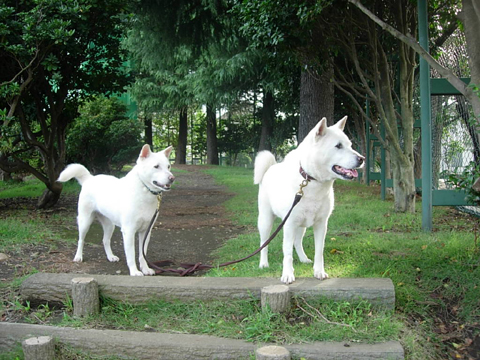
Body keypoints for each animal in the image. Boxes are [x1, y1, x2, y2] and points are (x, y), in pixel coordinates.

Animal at [58, 143, 174, 276]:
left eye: (168, 166)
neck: (144, 190)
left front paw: (145, 269)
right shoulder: (129, 231)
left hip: (109, 225)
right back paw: (78, 257)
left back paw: (110, 256)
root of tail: (89, 178)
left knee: (105, 240)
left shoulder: (146, 231)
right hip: (85, 222)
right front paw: (134, 271)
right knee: (81, 240)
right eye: (156, 166)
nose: (172, 178)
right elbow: (131, 254)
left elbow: (142, 254)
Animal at [255, 117, 364, 284]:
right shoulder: (289, 224)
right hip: (266, 221)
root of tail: (270, 168)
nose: (362, 159)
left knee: (297, 242)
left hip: (302, 225)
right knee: (264, 243)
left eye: (350, 145)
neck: (311, 180)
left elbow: (319, 251)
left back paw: (303, 259)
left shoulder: (321, 224)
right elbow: (287, 252)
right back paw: (263, 263)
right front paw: (287, 274)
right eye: (338, 146)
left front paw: (319, 271)